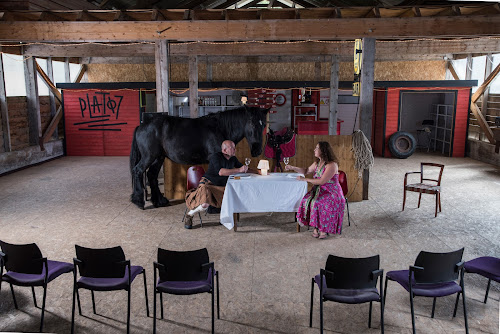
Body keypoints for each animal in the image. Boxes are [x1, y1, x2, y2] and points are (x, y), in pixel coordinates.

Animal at [130, 106, 270, 209]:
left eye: (263, 125)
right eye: (252, 124)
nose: (257, 150)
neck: (220, 128)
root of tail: (141, 126)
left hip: (158, 158)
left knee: (151, 175)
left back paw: (159, 201)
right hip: (149, 156)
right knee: (138, 171)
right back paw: (139, 201)